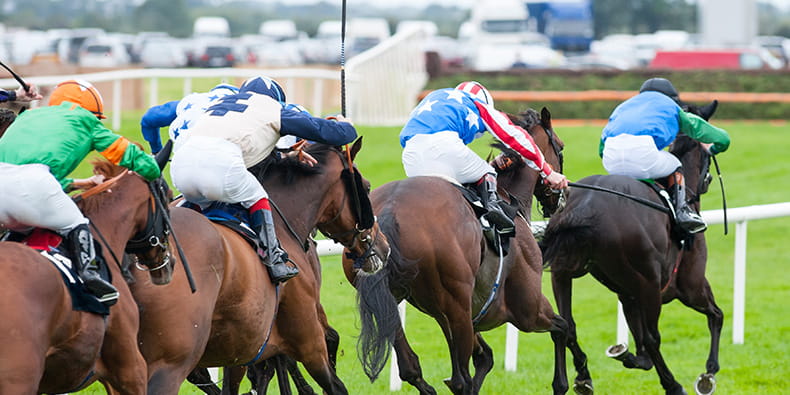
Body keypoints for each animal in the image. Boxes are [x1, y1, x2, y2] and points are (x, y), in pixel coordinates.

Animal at [127, 138, 390, 394]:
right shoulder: (307, 338)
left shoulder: (242, 345)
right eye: (367, 187)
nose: (384, 247)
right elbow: (332, 374)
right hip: (171, 361)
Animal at [344, 108, 572, 395]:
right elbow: (561, 328)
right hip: (461, 305)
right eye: (560, 148)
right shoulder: (527, 309)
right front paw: (567, 383)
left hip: (392, 301)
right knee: (459, 379)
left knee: (412, 367)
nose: (562, 194)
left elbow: (485, 357)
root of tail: (390, 208)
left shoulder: (452, 315)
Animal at [544, 103, 724, 394]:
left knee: (565, 326)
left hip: (563, 271)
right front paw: (708, 374)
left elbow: (640, 349)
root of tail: (586, 205)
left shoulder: (628, 294)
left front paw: (624, 354)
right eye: (707, 154)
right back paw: (673, 384)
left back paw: (575, 378)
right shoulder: (690, 284)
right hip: (649, 282)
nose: (706, 180)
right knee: (653, 337)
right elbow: (716, 315)